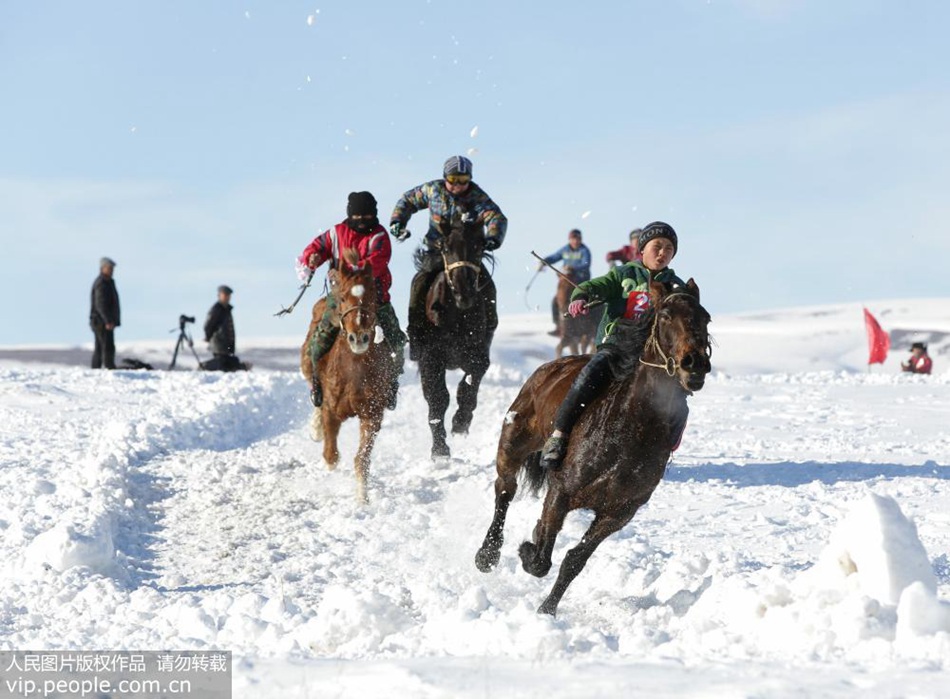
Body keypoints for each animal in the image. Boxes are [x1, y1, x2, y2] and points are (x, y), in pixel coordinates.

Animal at [304, 247, 396, 504]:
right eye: (344, 298)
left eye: (373, 297)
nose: (358, 338)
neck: (354, 372)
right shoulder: (332, 411)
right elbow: (331, 455)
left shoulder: (372, 414)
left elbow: (361, 459)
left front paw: (362, 498)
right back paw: (315, 429)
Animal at [414, 216, 494, 462]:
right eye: (446, 248)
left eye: (478, 247)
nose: (463, 291)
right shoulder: (430, 358)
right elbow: (438, 398)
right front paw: (440, 450)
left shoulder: (478, 355)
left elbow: (468, 387)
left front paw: (460, 423)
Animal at [472, 282, 712, 616]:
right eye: (665, 315)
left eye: (705, 317)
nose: (695, 363)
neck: (629, 428)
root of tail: (548, 369)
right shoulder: (561, 491)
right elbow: (542, 559)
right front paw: (528, 548)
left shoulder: (618, 513)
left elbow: (574, 560)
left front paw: (547, 610)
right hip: (513, 441)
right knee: (505, 490)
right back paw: (487, 555)